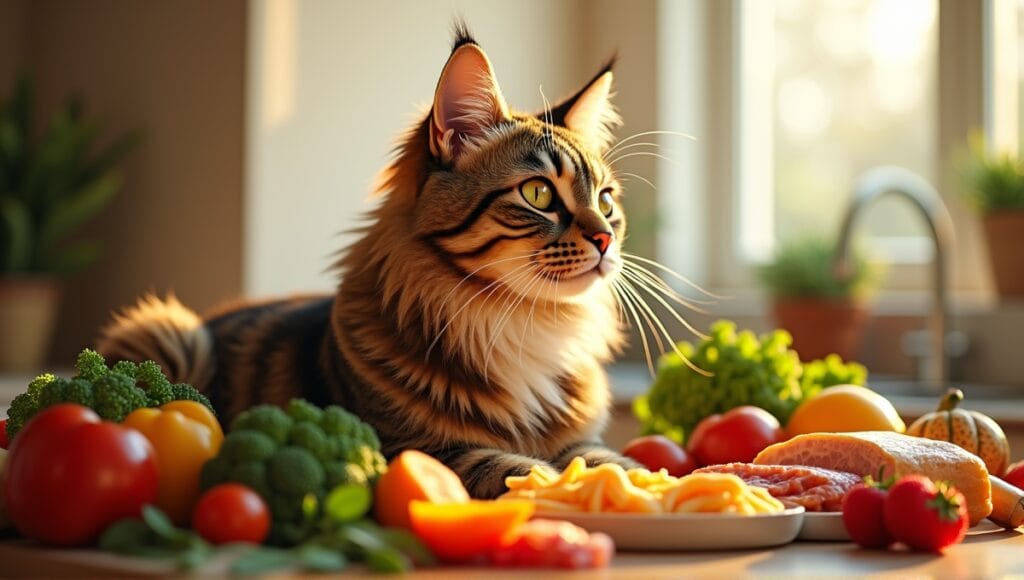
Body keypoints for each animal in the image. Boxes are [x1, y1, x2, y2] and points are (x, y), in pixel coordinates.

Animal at [97, 28, 638, 500]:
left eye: (606, 201)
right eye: (539, 194)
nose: (605, 239)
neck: (525, 324)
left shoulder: (584, 439)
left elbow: (613, 458)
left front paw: (635, 481)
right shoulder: (406, 446)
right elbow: (511, 466)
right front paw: (568, 487)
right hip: (168, 333)